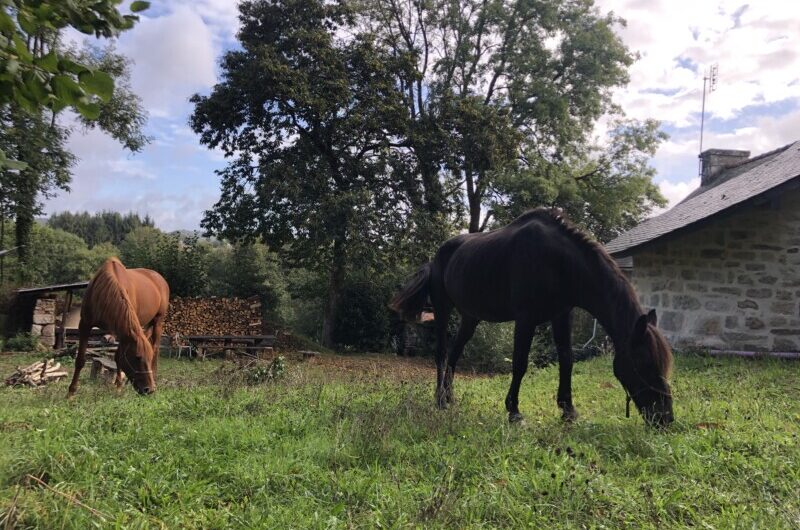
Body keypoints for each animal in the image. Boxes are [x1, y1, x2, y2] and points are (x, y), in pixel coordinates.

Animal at [67, 257, 170, 397]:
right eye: (137, 357)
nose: (148, 389)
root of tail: (159, 278)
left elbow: (119, 356)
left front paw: (119, 386)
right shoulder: (85, 324)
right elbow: (80, 360)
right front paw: (71, 393)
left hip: (158, 321)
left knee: (155, 348)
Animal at [389, 209, 674, 426]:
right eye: (645, 364)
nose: (665, 419)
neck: (560, 263)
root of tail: (436, 257)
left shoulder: (562, 315)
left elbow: (567, 359)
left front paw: (568, 410)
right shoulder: (525, 320)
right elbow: (520, 364)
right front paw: (514, 411)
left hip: (470, 317)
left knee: (455, 354)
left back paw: (450, 397)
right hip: (443, 309)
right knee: (441, 354)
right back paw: (439, 401)